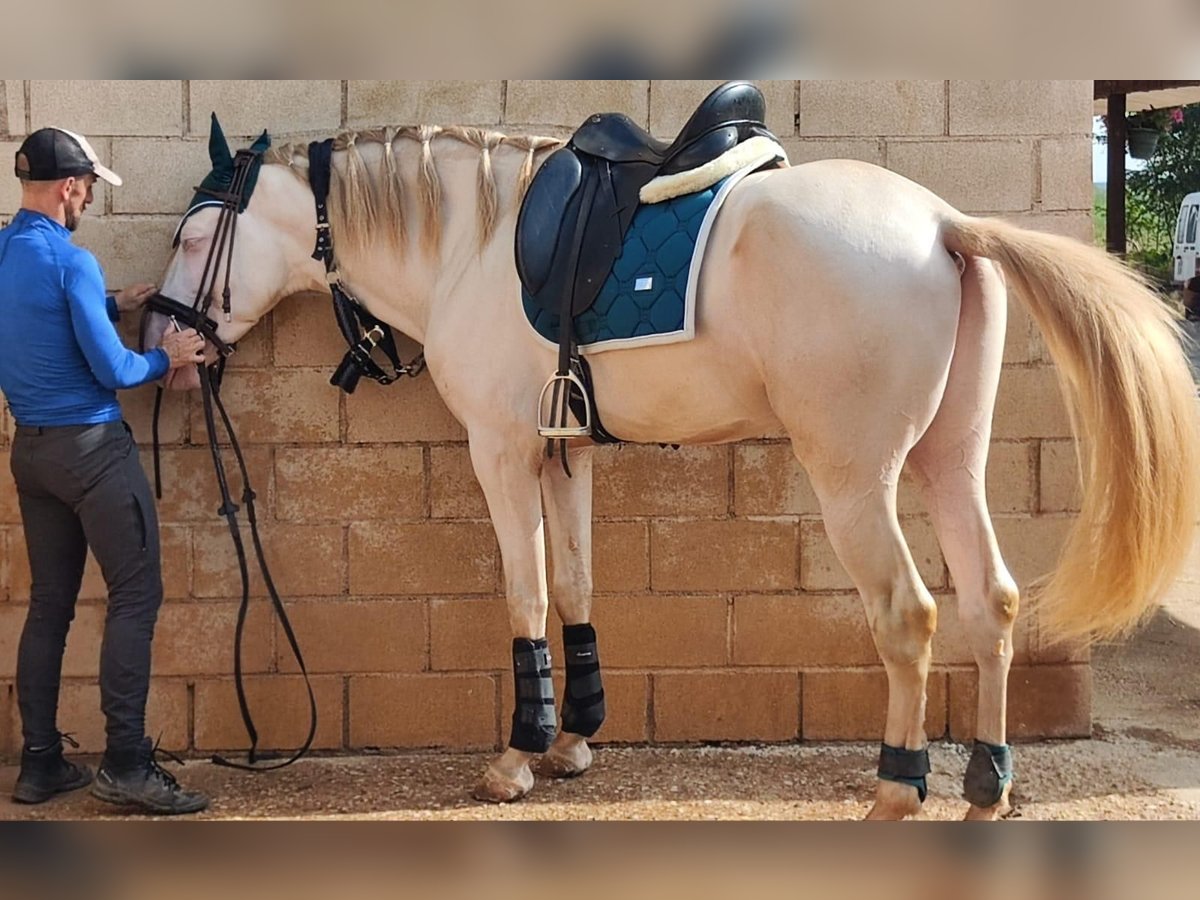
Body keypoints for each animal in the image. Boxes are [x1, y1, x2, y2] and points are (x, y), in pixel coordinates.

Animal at [147, 109, 1200, 820]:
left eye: (196, 235)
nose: (166, 340)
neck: (470, 245)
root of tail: (946, 224)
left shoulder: (501, 450)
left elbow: (526, 594)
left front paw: (516, 759)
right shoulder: (563, 455)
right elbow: (575, 588)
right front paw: (574, 741)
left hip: (855, 479)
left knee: (909, 615)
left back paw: (898, 793)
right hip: (952, 462)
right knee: (992, 602)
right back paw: (986, 784)